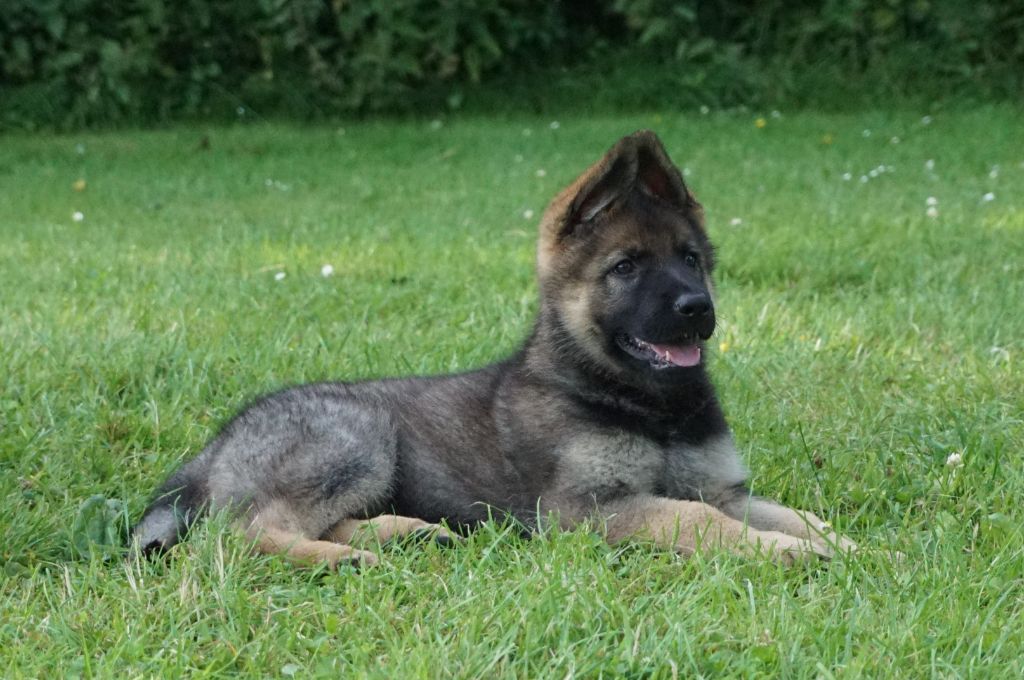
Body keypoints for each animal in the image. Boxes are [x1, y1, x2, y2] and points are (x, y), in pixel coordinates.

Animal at [136, 130, 856, 565]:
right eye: (625, 268)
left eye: (690, 260)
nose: (696, 310)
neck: (647, 404)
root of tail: (215, 449)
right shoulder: (587, 509)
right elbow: (697, 520)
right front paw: (787, 553)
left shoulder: (725, 489)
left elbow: (799, 515)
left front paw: (850, 545)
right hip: (356, 438)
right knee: (244, 533)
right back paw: (346, 559)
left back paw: (406, 534)